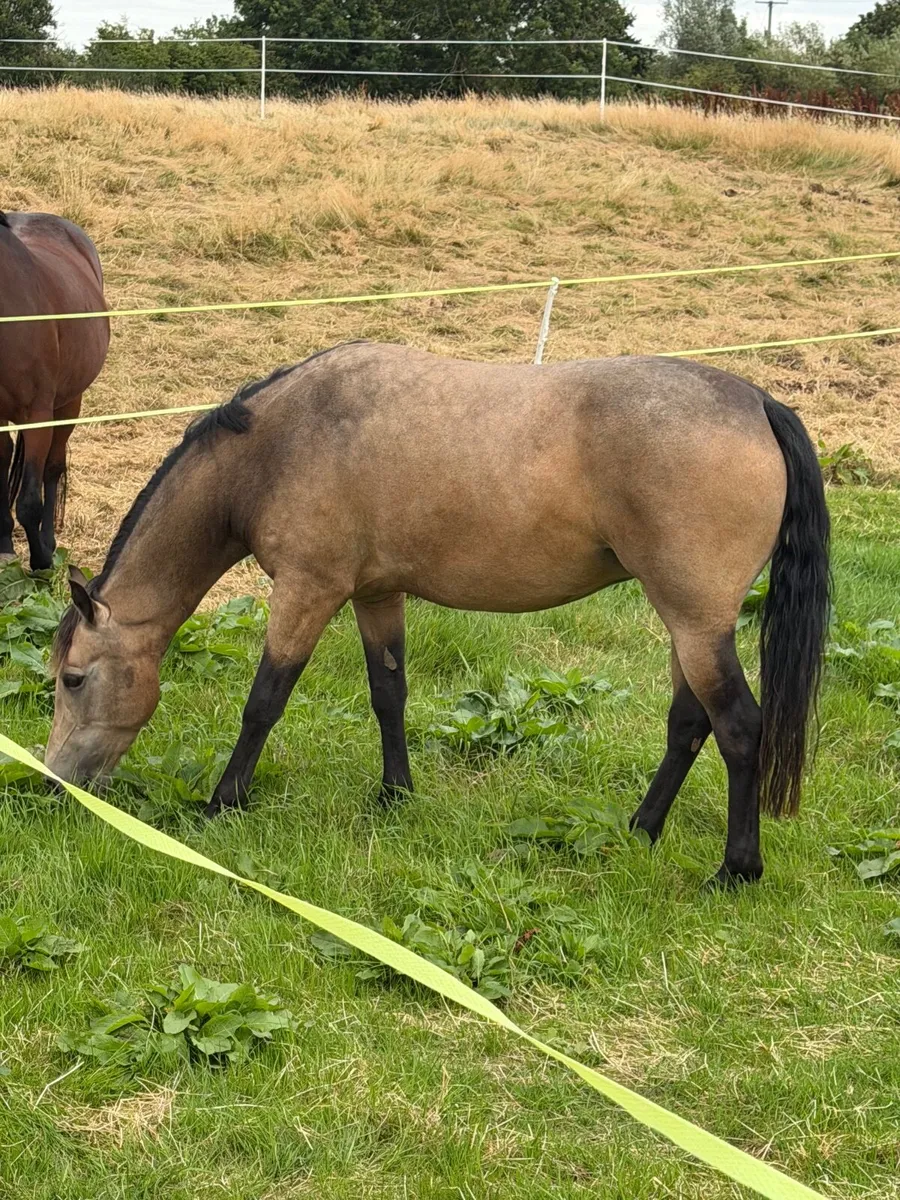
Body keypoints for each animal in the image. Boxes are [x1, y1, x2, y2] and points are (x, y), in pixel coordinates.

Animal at [0, 211, 109, 570]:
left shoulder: (38, 414)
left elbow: (30, 501)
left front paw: (42, 562)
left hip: (68, 404)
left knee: (52, 467)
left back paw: (47, 542)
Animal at [46, 342, 830, 887]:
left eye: (74, 679)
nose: (54, 782)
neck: (280, 446)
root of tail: (757, 402)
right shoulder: (375, 595)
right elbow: (388, 692)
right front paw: (395, 795)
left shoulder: (307, 590)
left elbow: (265, 699)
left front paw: (222, 803)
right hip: (689, 625)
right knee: (688, 724)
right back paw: (641, 829)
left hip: (697, 624)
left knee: (739, 727)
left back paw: (736, 870)